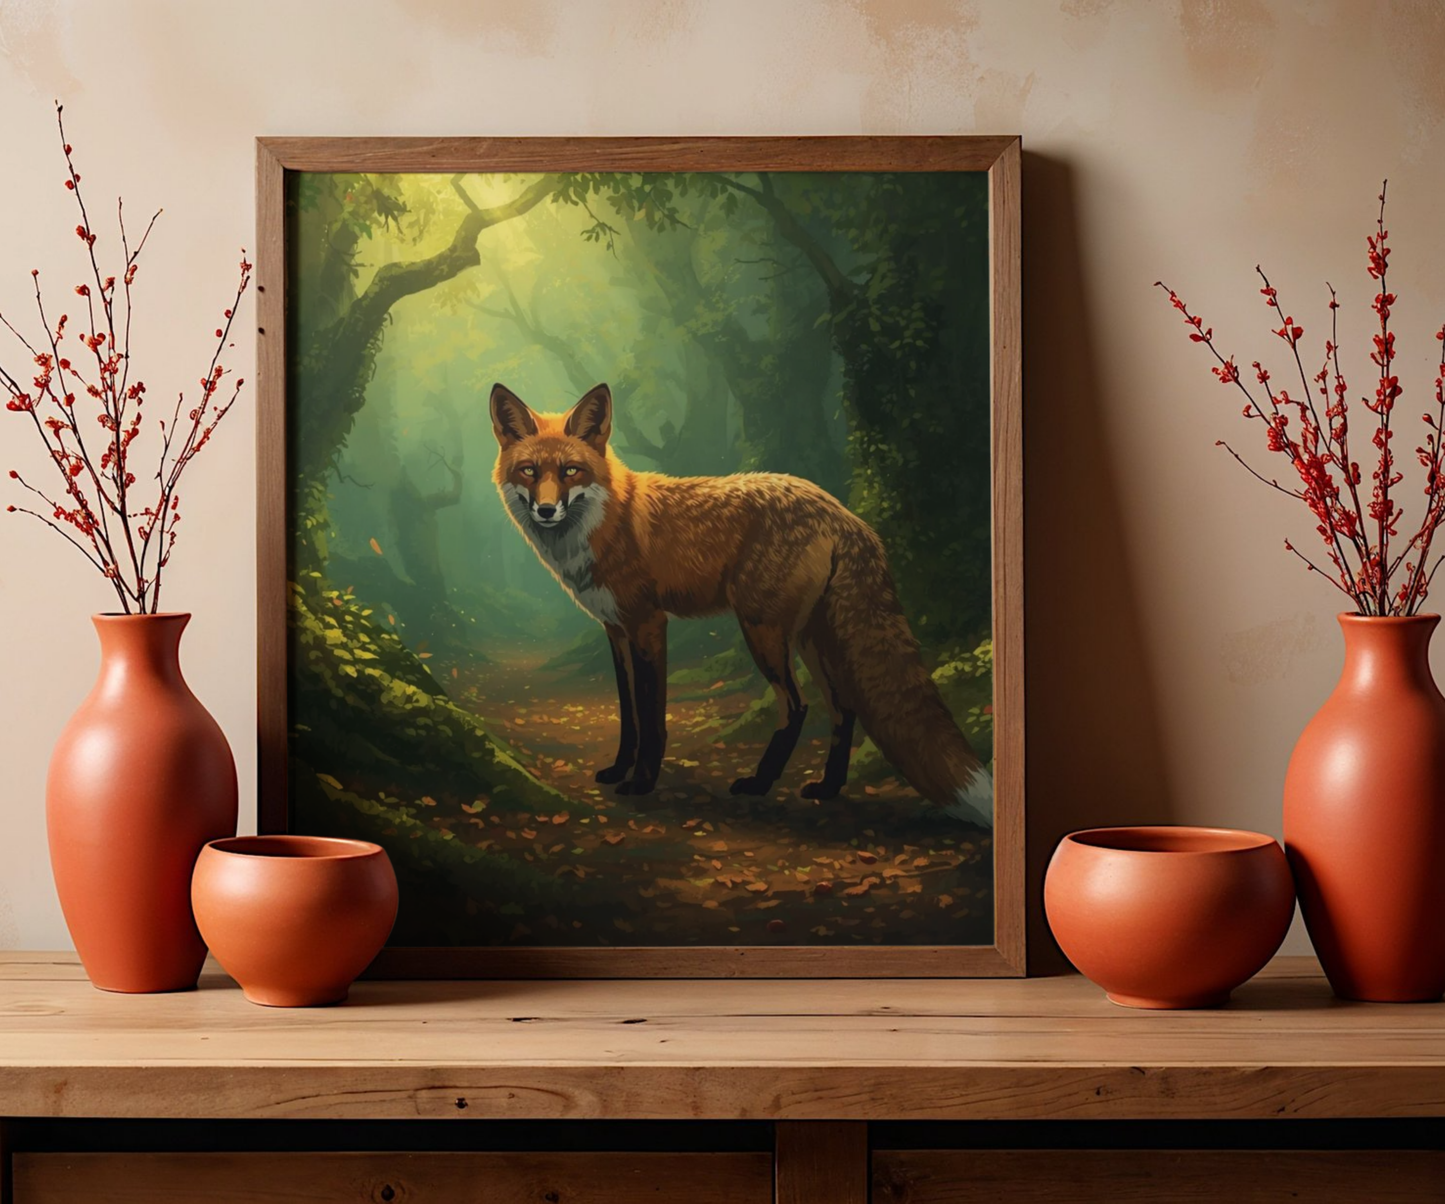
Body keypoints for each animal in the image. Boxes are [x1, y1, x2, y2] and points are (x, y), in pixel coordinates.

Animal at [489, 381, 993, 829]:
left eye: (571, 471)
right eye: (529, 471)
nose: (546, 511)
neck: (603, 523)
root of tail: (842, 510)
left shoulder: (649, 624)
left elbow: (652, 718)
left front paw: (642, 782)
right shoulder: (615, 630)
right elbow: (628, 716)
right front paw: (617, 771)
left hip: (763, 630)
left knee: (797, 707)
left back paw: (760, 783)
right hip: (810, 639)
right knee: (841, 707)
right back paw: (828, 788)